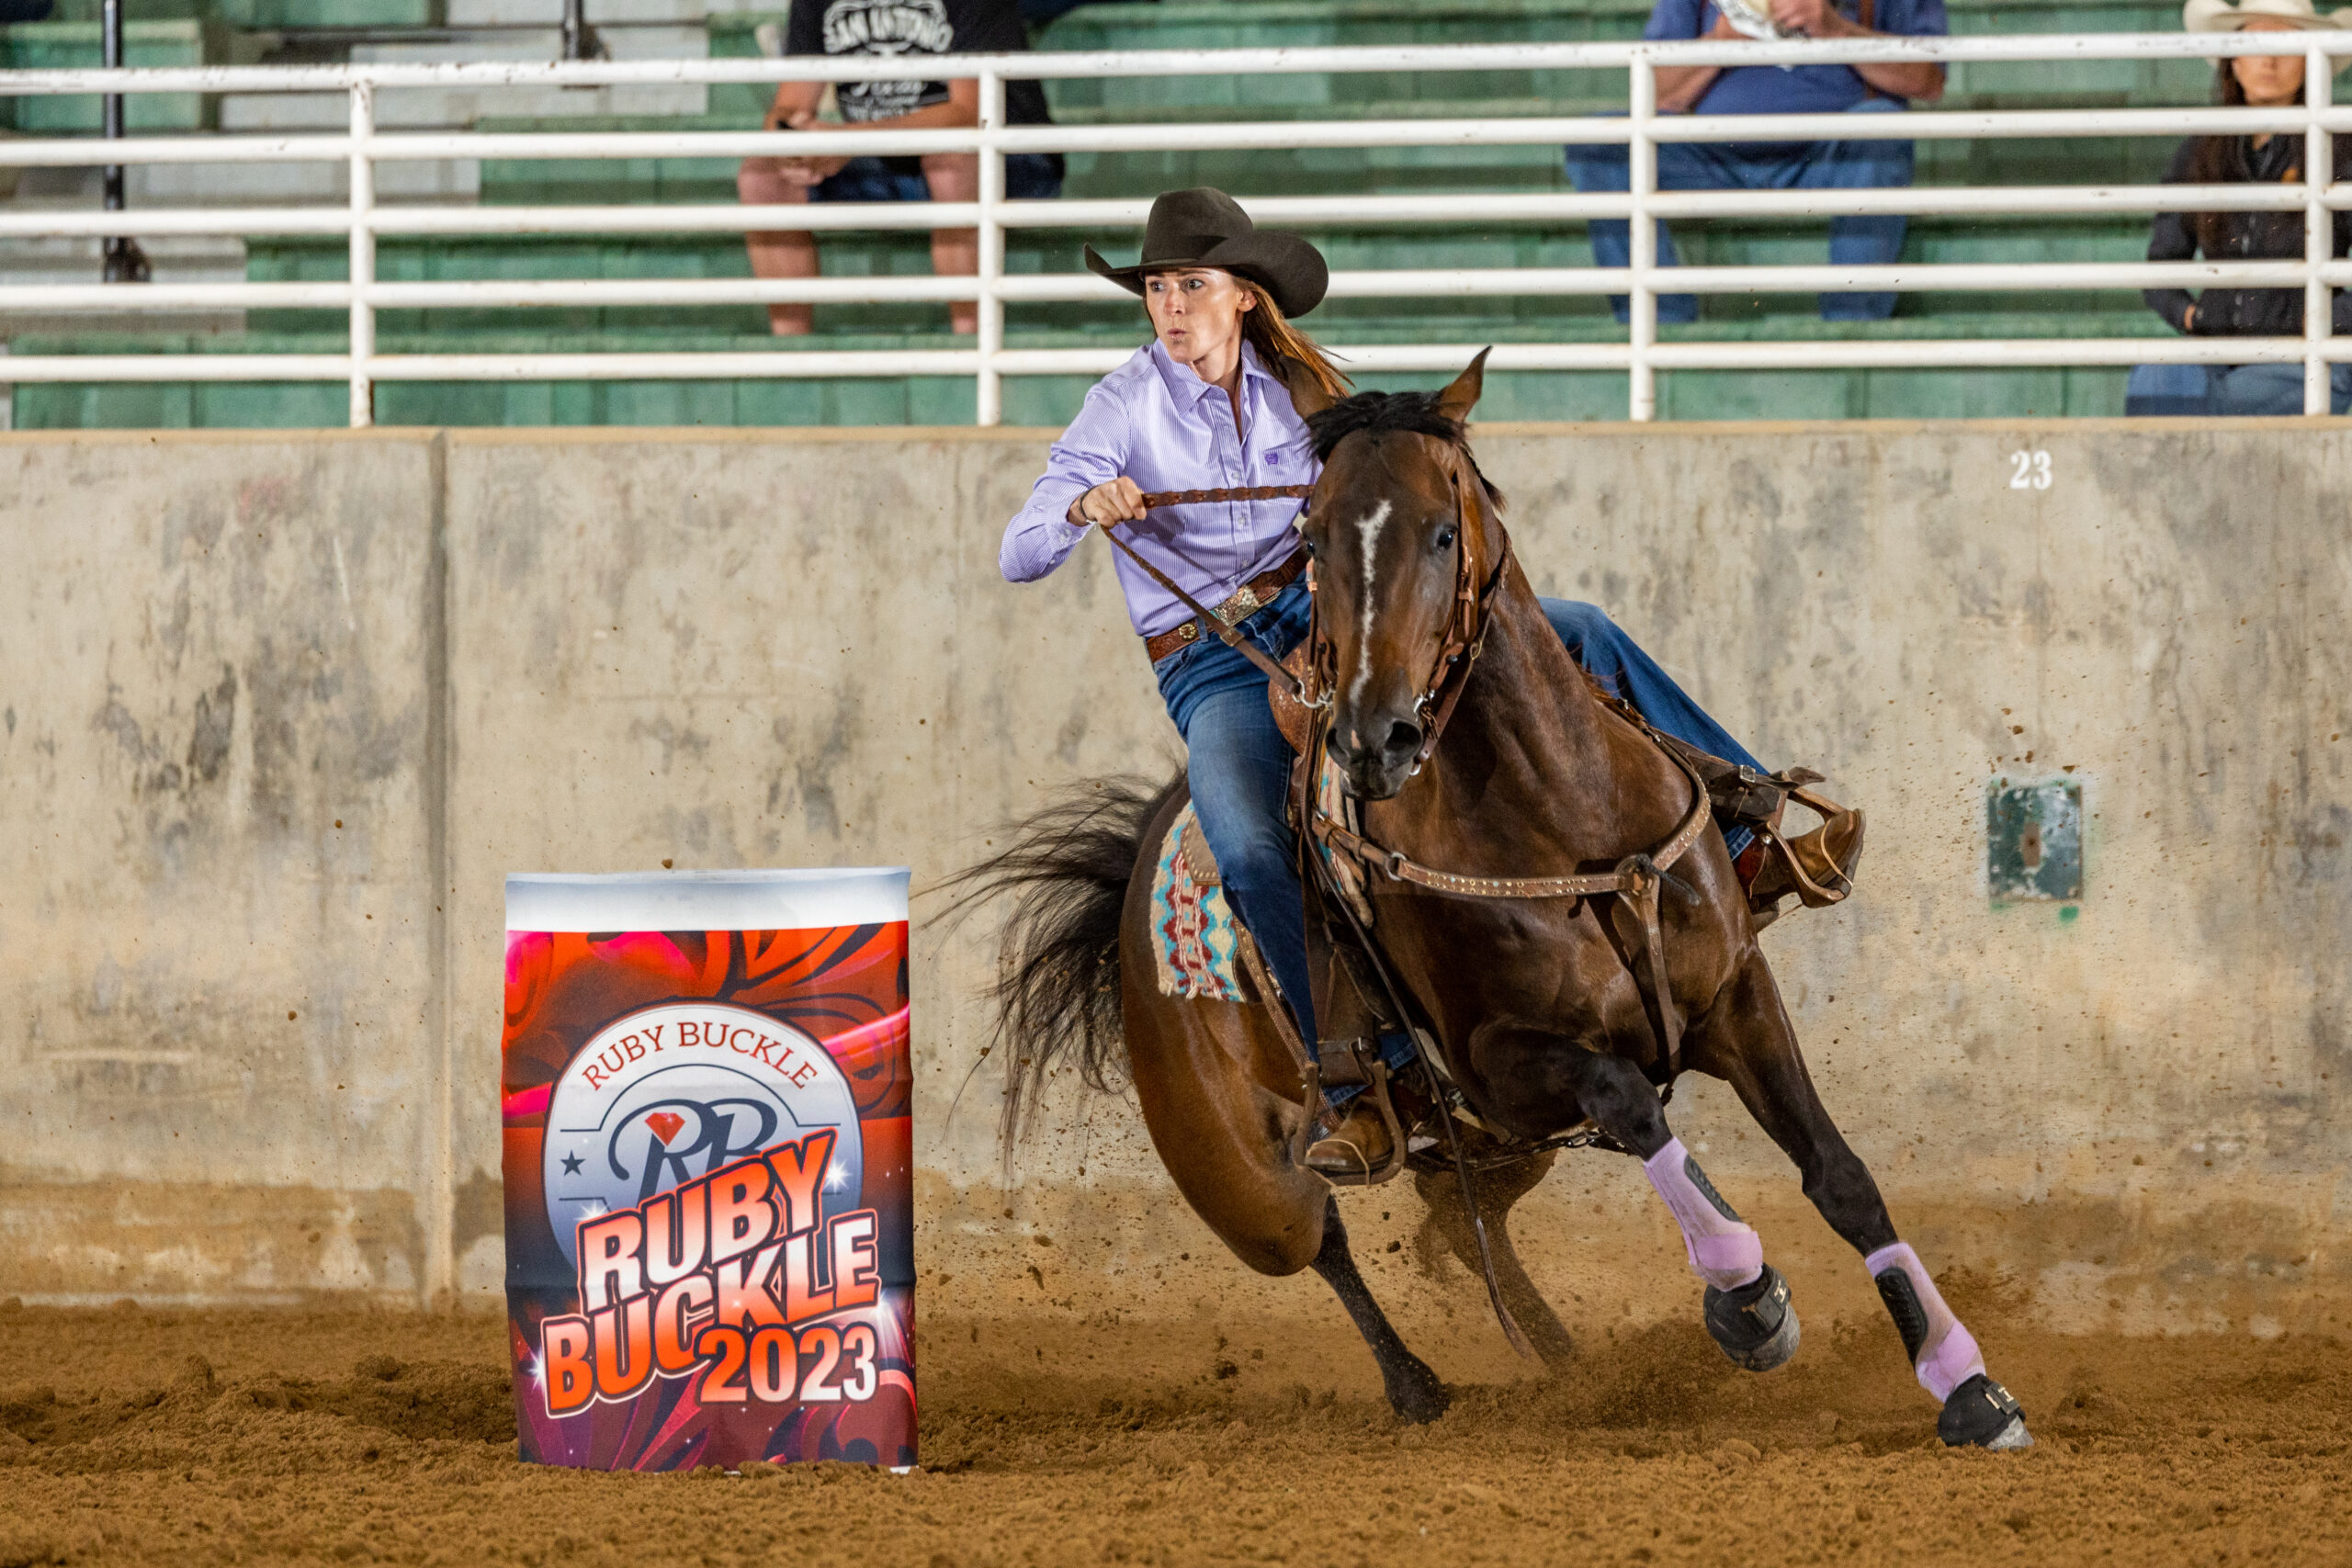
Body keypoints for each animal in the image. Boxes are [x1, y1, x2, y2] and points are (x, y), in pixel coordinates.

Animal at [950, 352, 2022, 1448]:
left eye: (1440, 528)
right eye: (1312, 535)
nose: (1373, 740)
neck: (1565, 815)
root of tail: (1133, 890)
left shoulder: (1735, 997)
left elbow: (1839, 1176)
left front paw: (1966, 1384)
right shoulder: (1500, 1062)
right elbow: (1629, 1096)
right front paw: (1747, 1294)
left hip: (1486, 1146)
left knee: (1464, 1232)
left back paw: (1567, 1363)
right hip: (1247, 1182)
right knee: (1327, 1246)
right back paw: (1418, 1382)